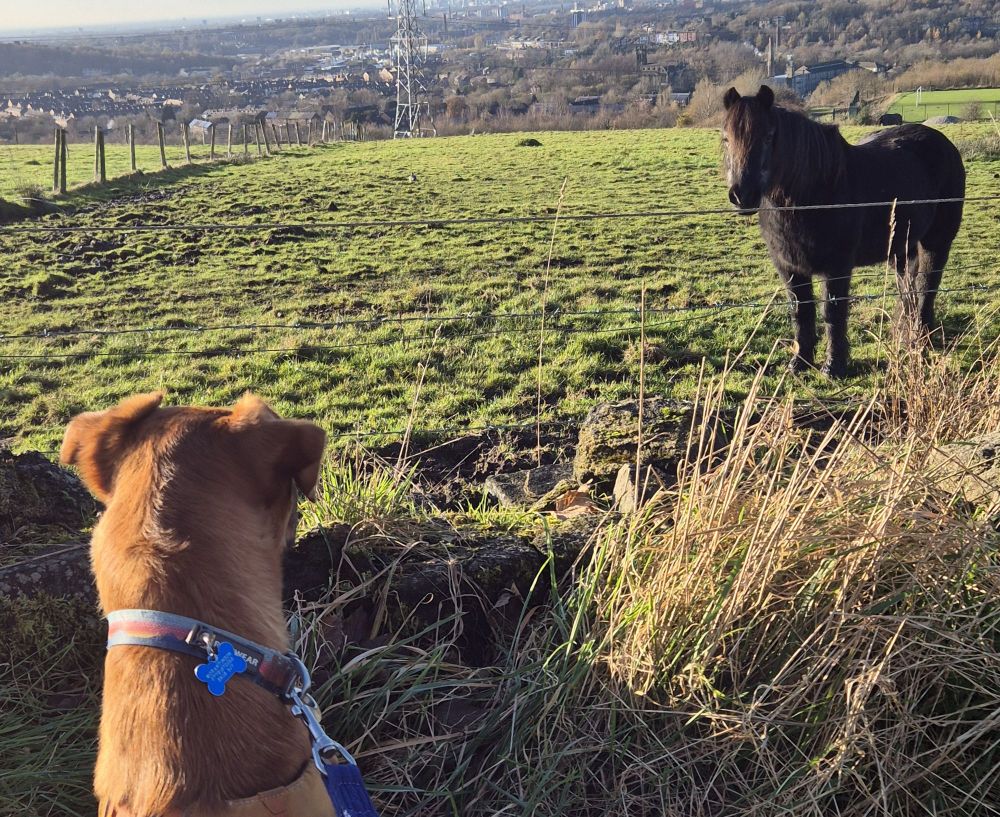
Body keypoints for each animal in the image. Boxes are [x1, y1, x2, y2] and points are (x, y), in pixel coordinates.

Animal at [721, 85, 965, 377]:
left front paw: (833, 366)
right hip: (902, 249)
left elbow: (833, 311)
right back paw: (906, 336)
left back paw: (921, 341)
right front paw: (800, 362)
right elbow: (800, 311)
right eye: (726, 138)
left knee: (926, 288)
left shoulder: (837, 267)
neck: (812, 195)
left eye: (769, 137)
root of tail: (945, 144)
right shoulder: (789, 267)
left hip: (936, 242)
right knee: (907, 291)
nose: (742, 195)